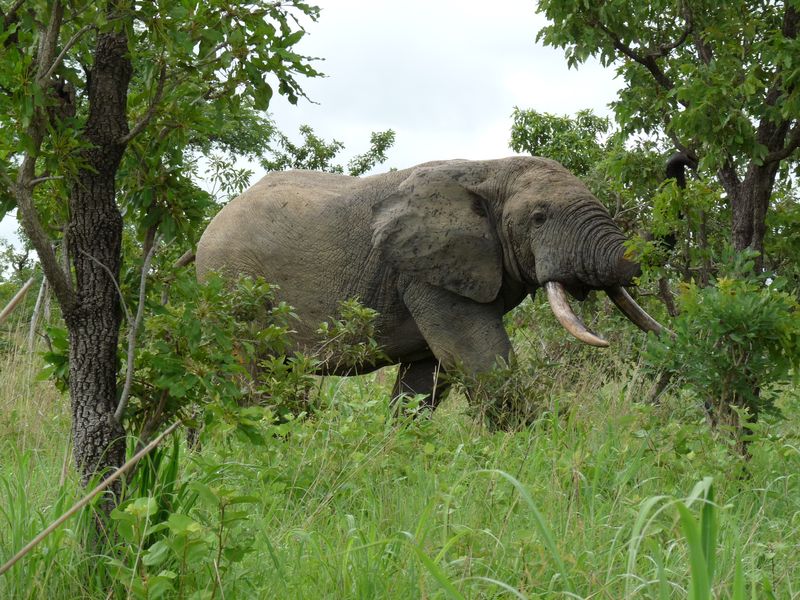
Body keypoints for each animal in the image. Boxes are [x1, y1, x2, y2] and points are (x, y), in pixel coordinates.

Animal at [196, 156, 663, 410]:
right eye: (539, 217)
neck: (487, 169)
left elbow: (426, 379)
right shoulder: (423, 272)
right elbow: (478, 361)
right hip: (232, 282)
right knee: (254, 375)